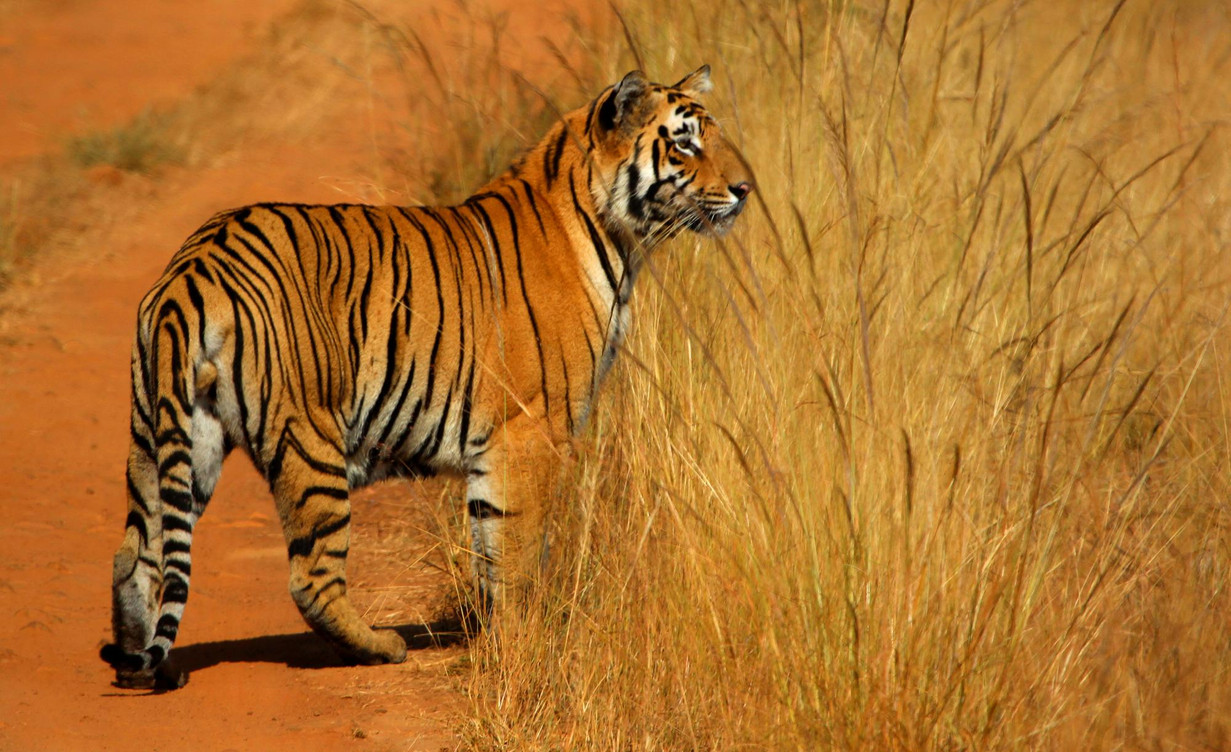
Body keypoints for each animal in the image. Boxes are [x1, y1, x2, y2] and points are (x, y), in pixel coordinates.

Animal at [101, 65, 754, 689]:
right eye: (686, 143)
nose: (746, 189)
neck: (614, 235)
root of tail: (193, 264)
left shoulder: (500, 450)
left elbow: (493, 546)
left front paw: (499, 636)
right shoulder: (531, 432)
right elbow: (519, 552)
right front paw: (527, 643)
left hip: (171, 436)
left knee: (135, 555)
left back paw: (142, 665)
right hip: (309, 437)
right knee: (310, 575)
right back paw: (379, 647)